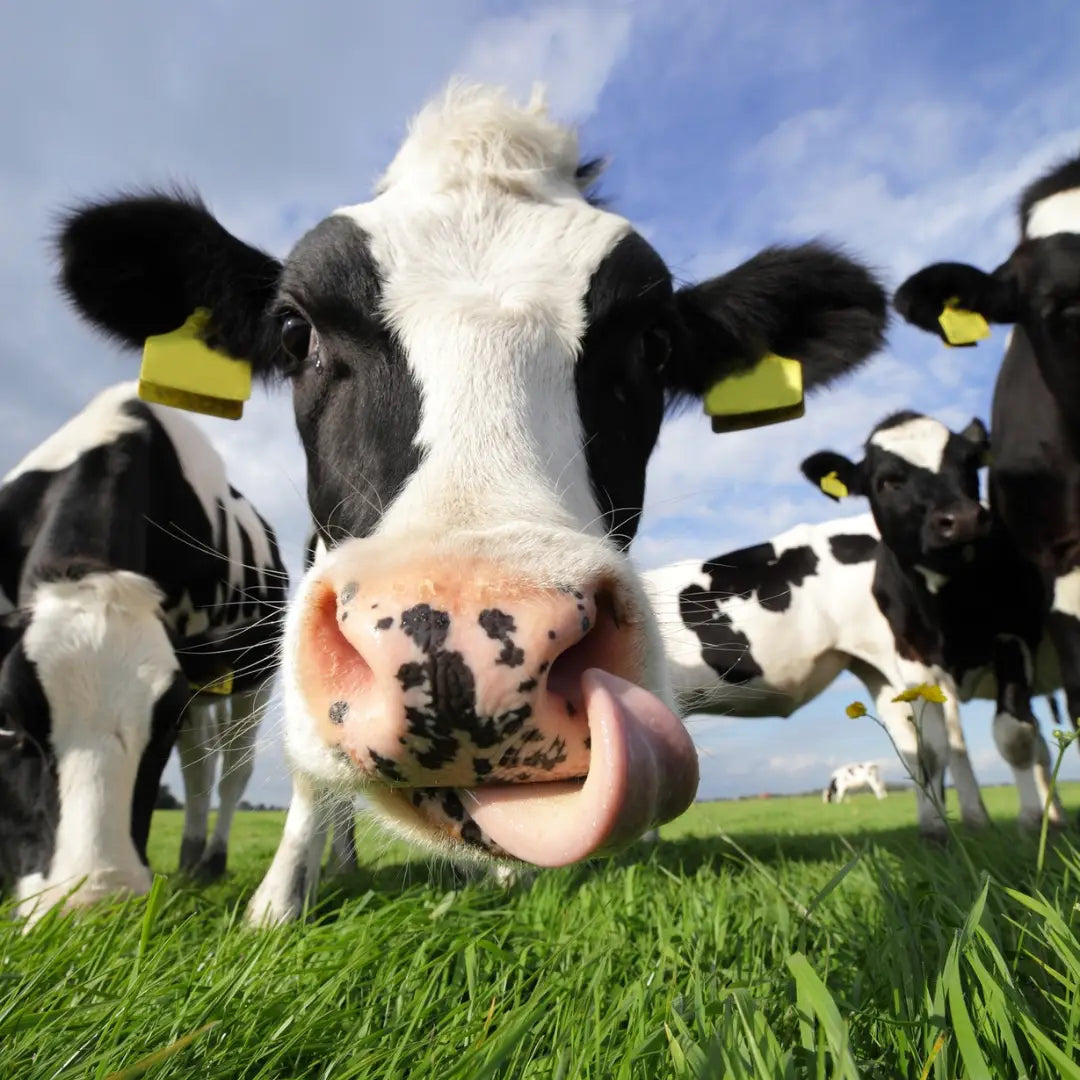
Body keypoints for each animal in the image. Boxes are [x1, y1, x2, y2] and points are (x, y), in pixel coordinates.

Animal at [0, 380, 287, 920]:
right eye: (7, 722)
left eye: (163, 726)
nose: (92, 906)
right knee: (200, 768)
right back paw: (190, 860)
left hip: (254, 680)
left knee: (231, 770)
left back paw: (211, 861)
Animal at [54, 79, 889, 924]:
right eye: (295, 332)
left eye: (654, 344)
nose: (461, 648)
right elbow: (308, 775)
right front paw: (279, 903)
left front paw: (495, 876)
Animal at [639, 511, 989, 833]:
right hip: (882, 672)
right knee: (928, 743)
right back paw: (967, 822)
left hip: (909, 655)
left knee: (931, 746)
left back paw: (939, 833)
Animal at [803, 406, 1062, 825]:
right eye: (887, 481)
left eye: (969, 462)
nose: (963, 519)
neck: (948, 608)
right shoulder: (913, 658)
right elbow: (929, 748)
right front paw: (936, 829)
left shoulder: (1014, 635)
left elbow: (1014, 735)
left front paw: (1031, 821)